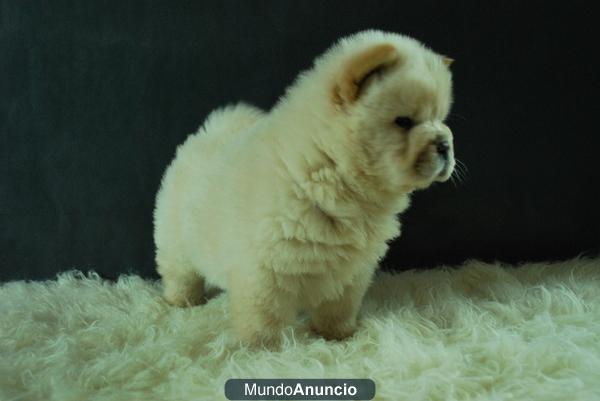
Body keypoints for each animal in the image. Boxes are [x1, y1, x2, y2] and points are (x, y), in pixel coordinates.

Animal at [155, 29, 454, 346]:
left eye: (441, 119)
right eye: (404, 121)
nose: (445, 144)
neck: (328, 164)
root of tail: (207, 133)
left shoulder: (350, 270)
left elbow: (339, 306)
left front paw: (338, 335)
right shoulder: (265, 271)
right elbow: (264, 316)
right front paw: (261, 347)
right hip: (175, 239)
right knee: (179, 272)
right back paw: (184, 300)